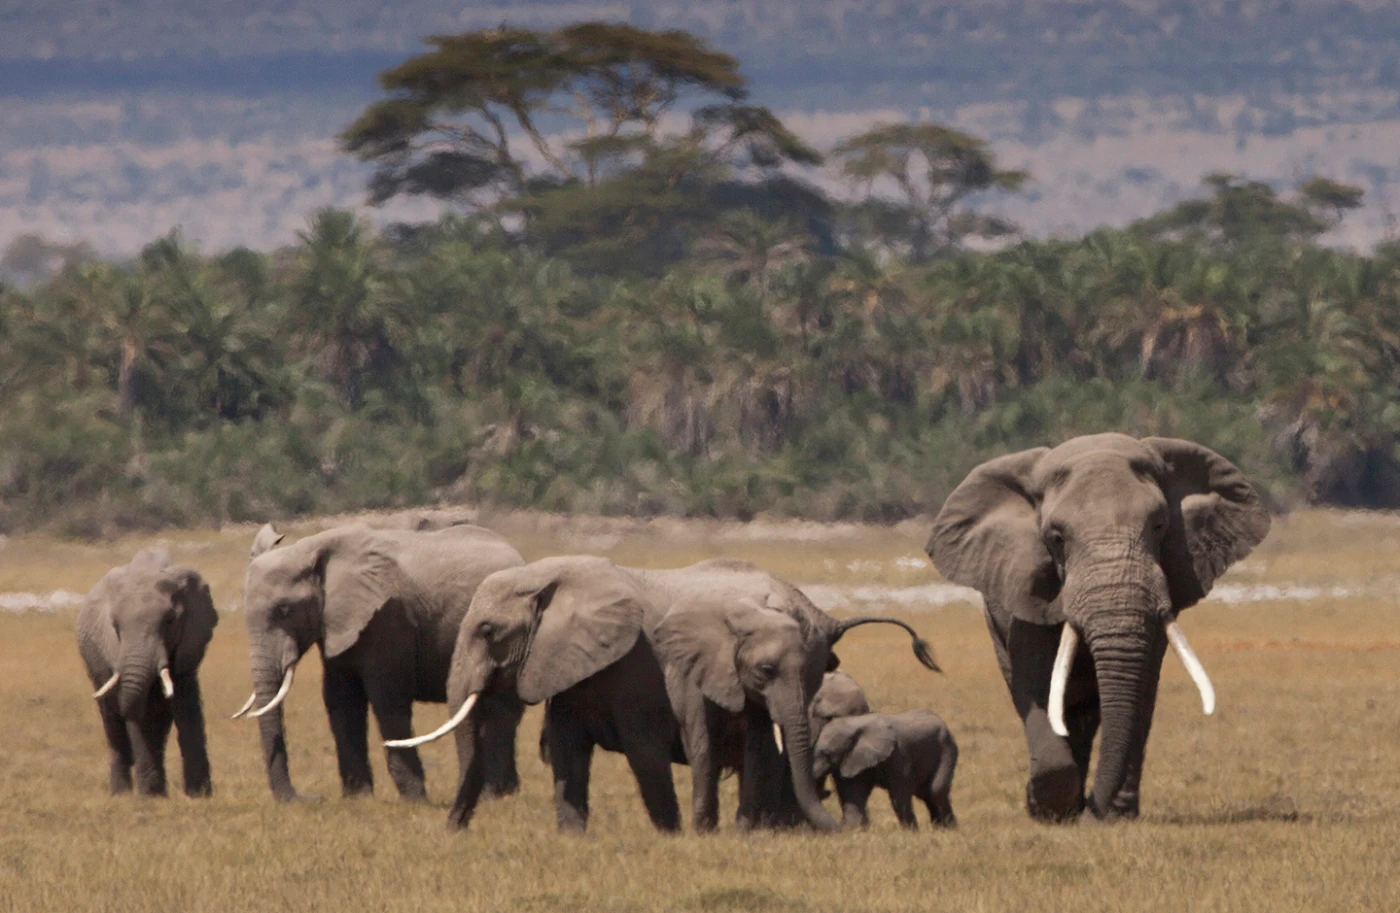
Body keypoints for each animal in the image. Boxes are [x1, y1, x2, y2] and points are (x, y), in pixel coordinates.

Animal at [75, 547, 218, 797]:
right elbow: (137, 717)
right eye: (115, 625)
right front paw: (151, 797)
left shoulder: (189, 643)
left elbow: (187, 705)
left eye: (170, 620)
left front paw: (199, 795)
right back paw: (121, 793)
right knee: (113, 725)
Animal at [234, 521, 525, 802]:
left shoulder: (388, 617)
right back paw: (506, 792)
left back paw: (494, 796)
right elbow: (341, 701)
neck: (312, 547)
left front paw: (414, 801)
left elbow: (388, 699)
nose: (310, 799)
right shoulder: (336, 625)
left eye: (284, 610)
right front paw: (358, 799)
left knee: (500, 712)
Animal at [811, 709, 958, 830]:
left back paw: (949, 830)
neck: (855, 724)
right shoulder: (853, 758)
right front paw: (854, 830)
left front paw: (911, 832)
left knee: (935, 792)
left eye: (826, 754)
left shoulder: (898, 754)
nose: (827, 791)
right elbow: (853, 794)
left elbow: (899, 794)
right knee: (928, 795)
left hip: (947, 749)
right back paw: (941, 829)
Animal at [925, 433, 1270, 821]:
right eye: (1056, 538)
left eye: (1159, 527)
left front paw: (1109, 816)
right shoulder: (1028, 588)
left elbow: (1141, 689)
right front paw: (1047, 811)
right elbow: (1037, 681)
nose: (1095, 811)